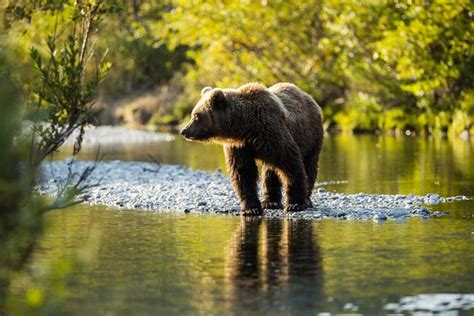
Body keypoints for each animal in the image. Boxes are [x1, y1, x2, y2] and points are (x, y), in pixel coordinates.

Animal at [180, 81, 324, 216]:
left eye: (196, 116)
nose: (184, 131)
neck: (246, 127)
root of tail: (309, 97)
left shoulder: (272, 133)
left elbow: (290, 164)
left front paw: (295, 204)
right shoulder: (239, 147)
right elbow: (243, 173)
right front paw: (251, 209)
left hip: (311, 136)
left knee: (309, 165)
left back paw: (306, 199)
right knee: (270, 171)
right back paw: (270, 202)